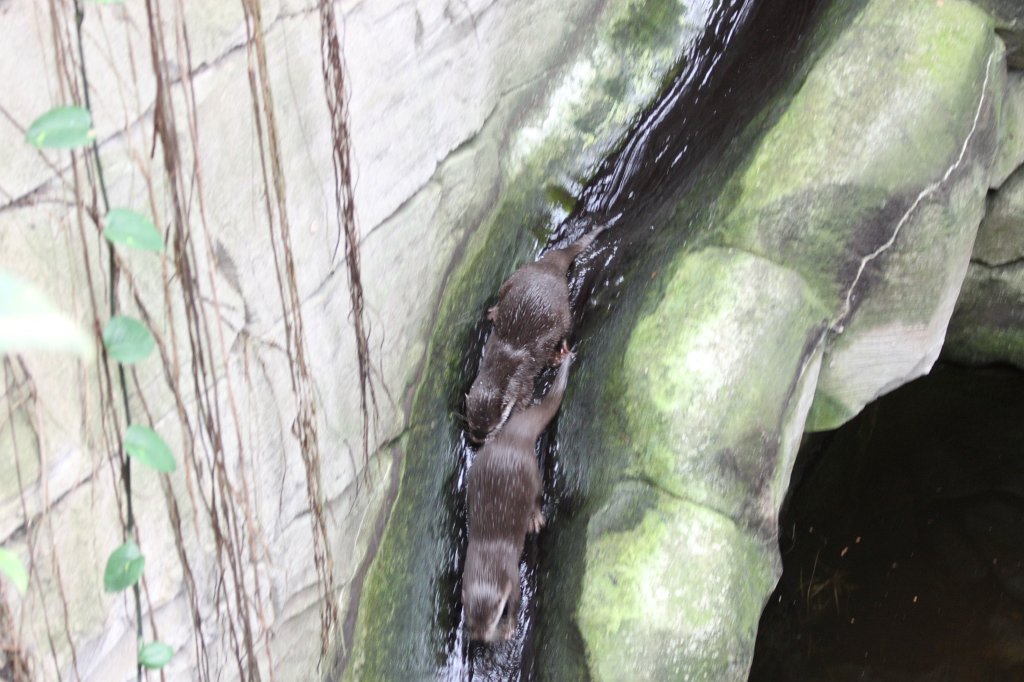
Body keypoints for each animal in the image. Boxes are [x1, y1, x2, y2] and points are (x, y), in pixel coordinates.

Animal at [463, 349, 574, 642]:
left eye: (494, 614)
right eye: (469, 615)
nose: (480, 637)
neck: (488, 557)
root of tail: (512, 435)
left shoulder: (512, 578)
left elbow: (516, 599)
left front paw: (511, 626)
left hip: (532, 475)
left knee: (536, 496)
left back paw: (535, 519)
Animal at [465, 226, 604, 443]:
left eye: (490, 428)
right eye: (471, 425)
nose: (477, 440)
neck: (502, 363)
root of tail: (549, 268)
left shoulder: (523, 382)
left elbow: (524, 400)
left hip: (563, 313)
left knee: (566, 329)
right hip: (515, 277)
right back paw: (495, 311)